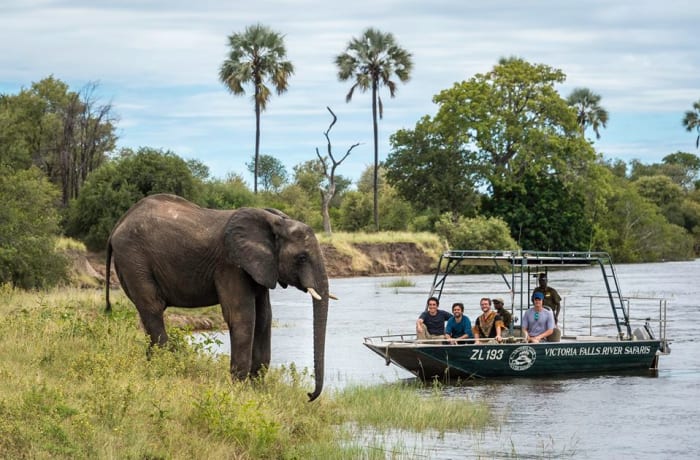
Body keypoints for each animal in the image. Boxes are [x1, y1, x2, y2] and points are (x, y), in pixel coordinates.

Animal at [106, 192, 330, 400]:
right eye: (302, 258)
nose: (309, 395)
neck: (274, 222)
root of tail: (117, 225)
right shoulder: (230, 264)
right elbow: (242, 317)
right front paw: (240, 390)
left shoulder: (260, 267)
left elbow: (265, 318)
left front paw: (257, 388)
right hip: (133, 258)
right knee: (152, 307)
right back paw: (165, 366)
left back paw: (152, 365)